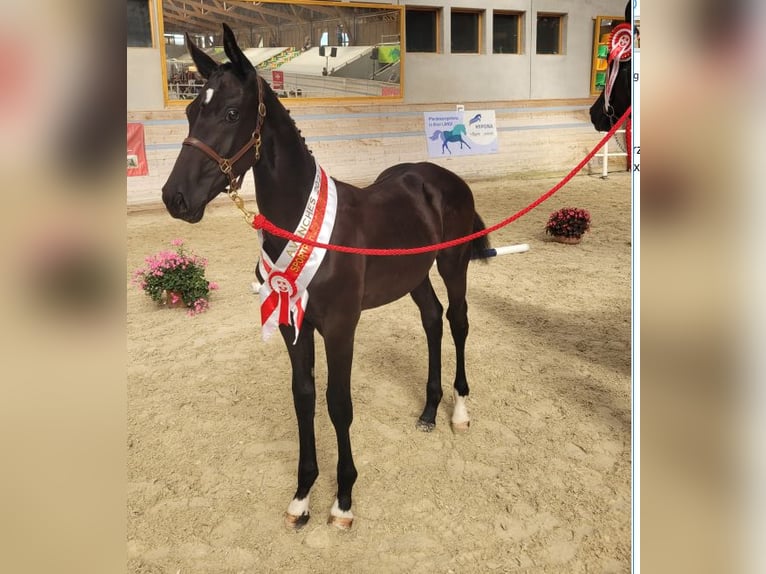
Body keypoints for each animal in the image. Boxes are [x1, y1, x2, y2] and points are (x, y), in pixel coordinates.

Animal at [162, 23, 491, 529]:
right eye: (191, 110)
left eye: (231, 113)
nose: (174, 198)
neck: (304, 226)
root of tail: (441, 177)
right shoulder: (291, 324)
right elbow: (304, 398)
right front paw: (302, 496)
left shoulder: (339, 328)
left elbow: (338, 404)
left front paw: (343, 499)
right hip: (413, 275)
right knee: (433, 319)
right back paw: (428, 411)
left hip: (452, 263)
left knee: (457, 321)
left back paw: (457, 411)